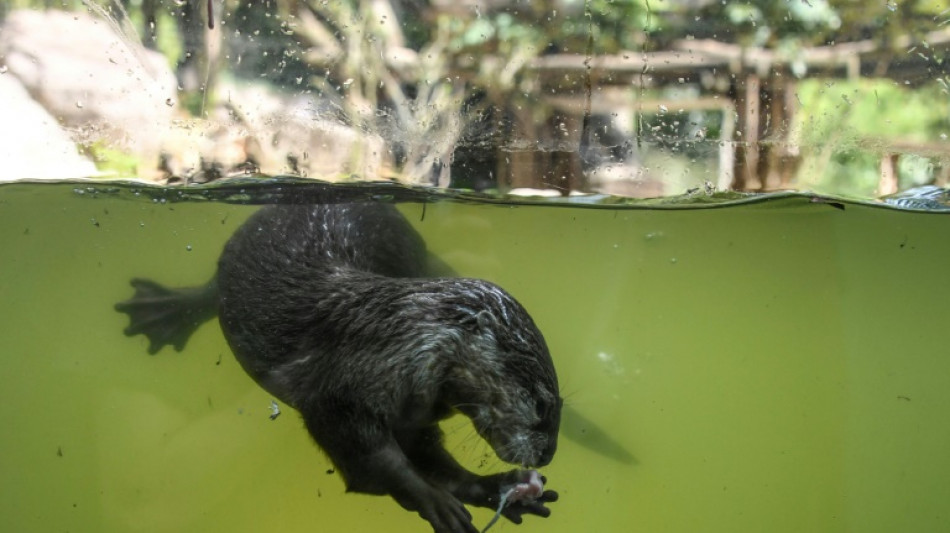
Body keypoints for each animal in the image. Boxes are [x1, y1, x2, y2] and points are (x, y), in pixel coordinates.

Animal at [115, 202, 560, 528]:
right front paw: (433, 499)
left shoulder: (414, 413)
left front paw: (496, 488)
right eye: (540, 403)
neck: (388, 341)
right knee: (209, 291)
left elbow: (431, 456)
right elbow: (370, 463)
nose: (547, 455)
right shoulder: (336, 397)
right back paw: (165, 308)